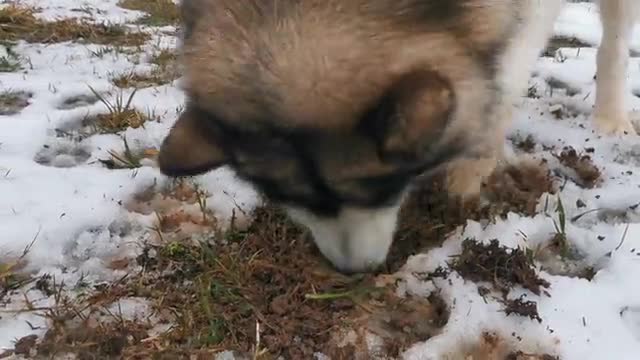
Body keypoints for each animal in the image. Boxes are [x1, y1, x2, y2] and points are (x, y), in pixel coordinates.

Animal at [158, 0, 636, 272]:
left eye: (384, 188)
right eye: (287, 197)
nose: (354, 272)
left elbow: (502, 78)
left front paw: (470, 172)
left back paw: (611, 115)